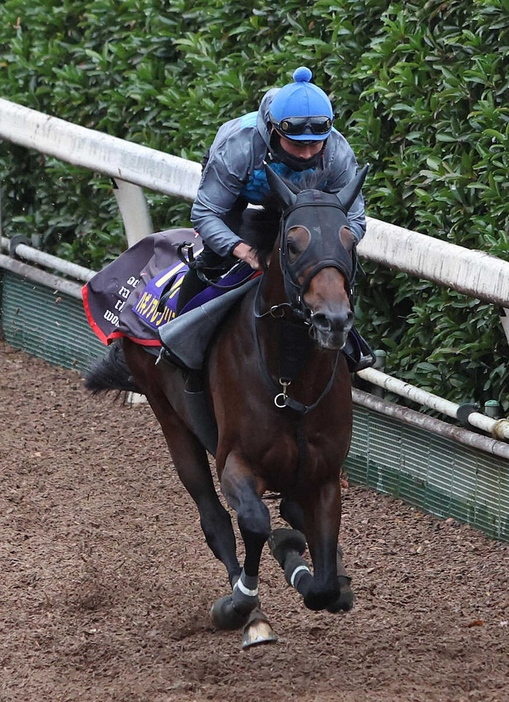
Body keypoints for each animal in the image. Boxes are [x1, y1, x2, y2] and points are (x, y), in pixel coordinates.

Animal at [85, 164, 368, 648]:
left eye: (349, 239)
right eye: (292, 243)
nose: (333, 320)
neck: (289, 380)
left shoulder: (325, 474)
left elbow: (325, 582)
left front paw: (310, 565)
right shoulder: (235, 461)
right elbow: (252, 522)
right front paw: (241, 603)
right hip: (170, 419)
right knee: (215, 519)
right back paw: (251, 610)